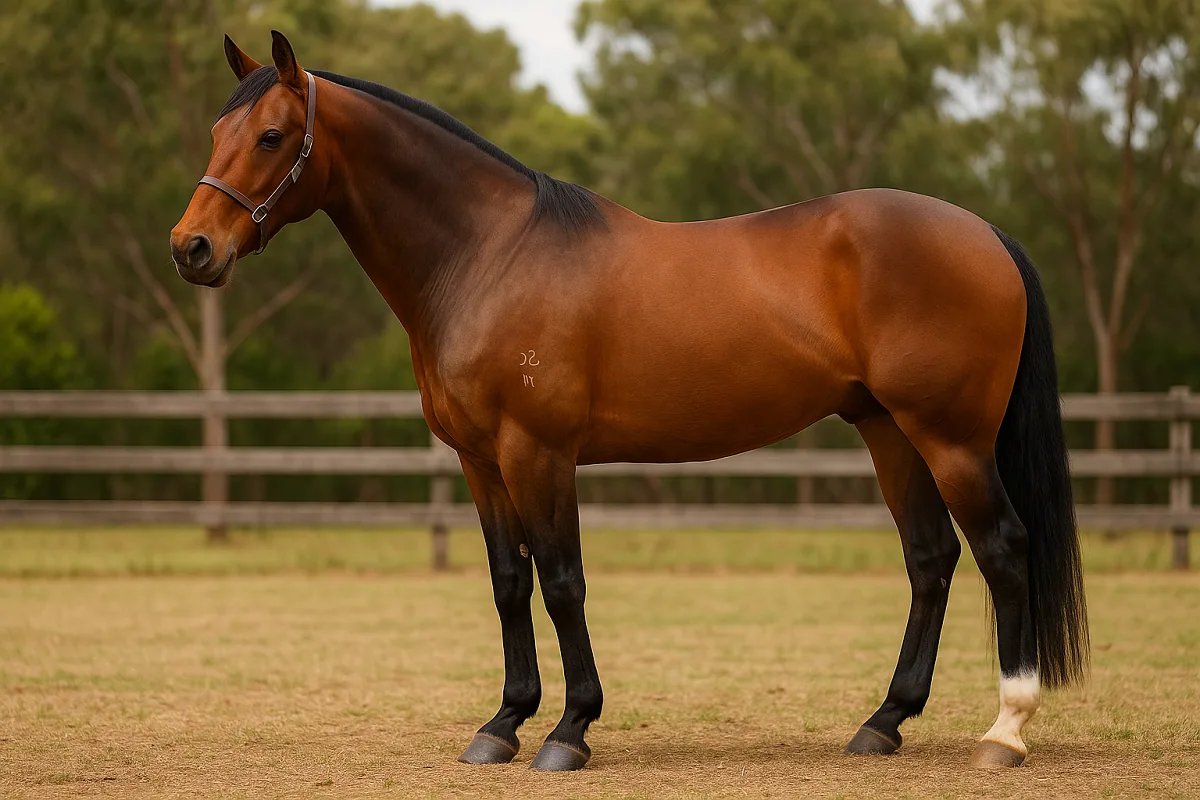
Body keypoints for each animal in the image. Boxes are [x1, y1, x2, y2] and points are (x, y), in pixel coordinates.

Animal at [170, 31, 1088, 772]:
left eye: (272, 135)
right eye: (216, 131)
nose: (192, 248)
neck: (488, 254)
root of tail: (986, 233)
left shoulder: (538, 452)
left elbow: (562, 582)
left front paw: (569, 730)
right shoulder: (479, 461)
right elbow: (509, 582)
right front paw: (502, 724)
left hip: (950, 439)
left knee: (1003, 548)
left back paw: (1004, 733)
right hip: (889, 432)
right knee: (930, 560)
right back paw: (883, 722)